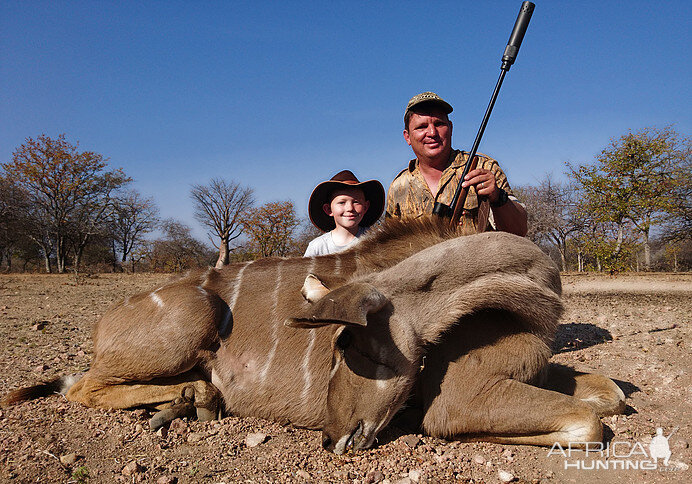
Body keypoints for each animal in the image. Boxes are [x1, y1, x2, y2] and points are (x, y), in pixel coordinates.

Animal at [1, 219, 628, 454]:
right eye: (341, 347)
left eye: (360, 348)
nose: (332, 440)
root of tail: (104, 325)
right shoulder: (458, 402)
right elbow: (590, 422)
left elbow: (610, 395)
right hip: (190, 322)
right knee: (81, 388)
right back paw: (193, 399)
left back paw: (185, 402)